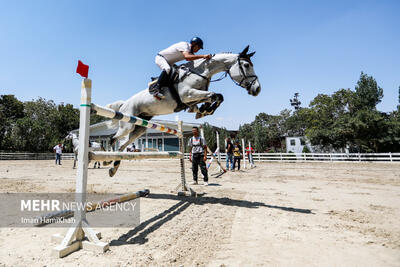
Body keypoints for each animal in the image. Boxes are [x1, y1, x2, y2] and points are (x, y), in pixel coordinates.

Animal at [101, 46, 260, 178]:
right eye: (246, 65)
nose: (257, 89)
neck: (201, 72)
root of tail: (124, 104)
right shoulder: (188, 95)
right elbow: (214, 95)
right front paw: (205, 110)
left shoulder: (192, 98)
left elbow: (216, 97)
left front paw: (204, 110)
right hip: (128, 124)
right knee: (113, 139)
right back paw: (107, 161)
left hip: (140, 127)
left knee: (122, 146)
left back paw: (113, 167)